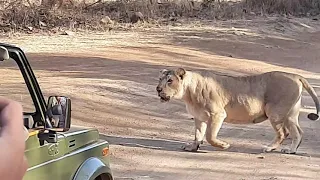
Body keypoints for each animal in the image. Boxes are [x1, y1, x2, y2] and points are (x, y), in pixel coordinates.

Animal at [156, 67, 318, 153]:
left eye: (170, 80)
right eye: (159, 79)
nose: (158, 89)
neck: (188, 93)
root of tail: (295, 75)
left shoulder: (218, 114)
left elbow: (209, 136)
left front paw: (224, 145)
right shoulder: (199, 117)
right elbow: (198, 134)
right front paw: (192, 147)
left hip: (275, 112)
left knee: (283, 132)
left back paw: (269, 148)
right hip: (290, 114)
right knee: (298, 132)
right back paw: (291, 150)